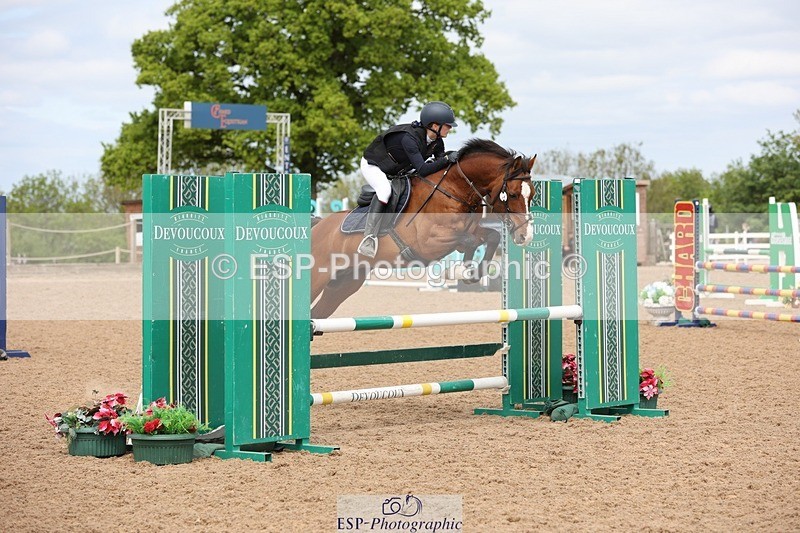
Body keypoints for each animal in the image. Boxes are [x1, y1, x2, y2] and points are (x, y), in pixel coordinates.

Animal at [310, 138, 537, 319]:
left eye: (532, 194)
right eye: (513, 194)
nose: (525, 236)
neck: (452, 191)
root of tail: (318, 226)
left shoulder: (469, 231)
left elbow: (491, 237)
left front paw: (469, 274)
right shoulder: (428, 243)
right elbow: (470, 241)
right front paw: (457, 271)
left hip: (344, 283)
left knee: (317, 313)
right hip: (318, 278)